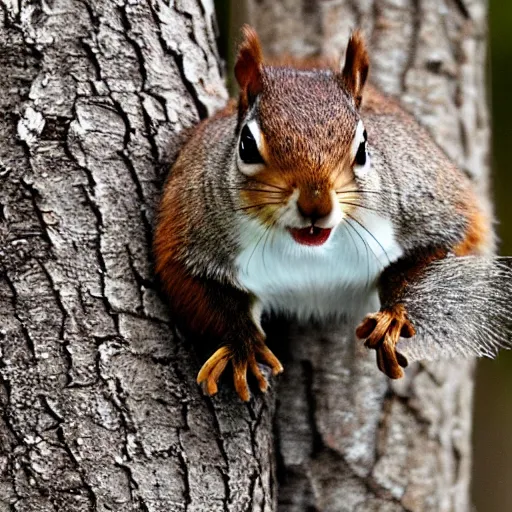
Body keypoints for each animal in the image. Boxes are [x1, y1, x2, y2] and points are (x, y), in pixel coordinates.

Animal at [153, 25, 512, 400]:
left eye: (364, 147)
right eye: (247, 146)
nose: (316, 206)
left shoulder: (427, 201)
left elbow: (448, 243)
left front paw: (393, 315)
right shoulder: (190, 226)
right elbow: (197, 286)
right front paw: (244, 345)